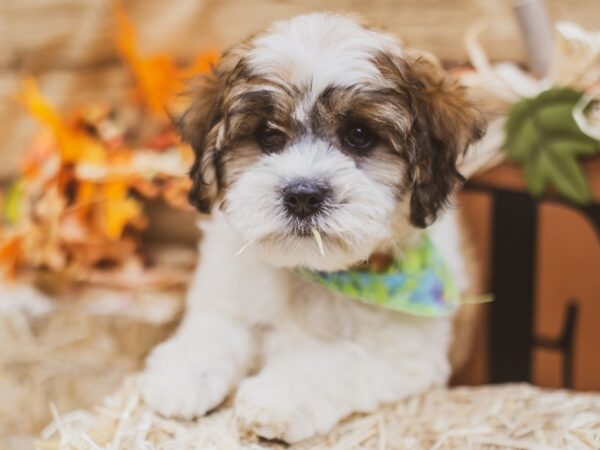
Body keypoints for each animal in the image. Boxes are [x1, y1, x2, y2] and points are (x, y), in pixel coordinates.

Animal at [143, 12, 486, 442]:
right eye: (268, 134)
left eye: (359, 136)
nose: (303, 195)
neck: (311, 272)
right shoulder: (226, 296)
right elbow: (215, 327)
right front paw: (182, 374)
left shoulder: (405, 352)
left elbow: (332, 362)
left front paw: (276, 399)